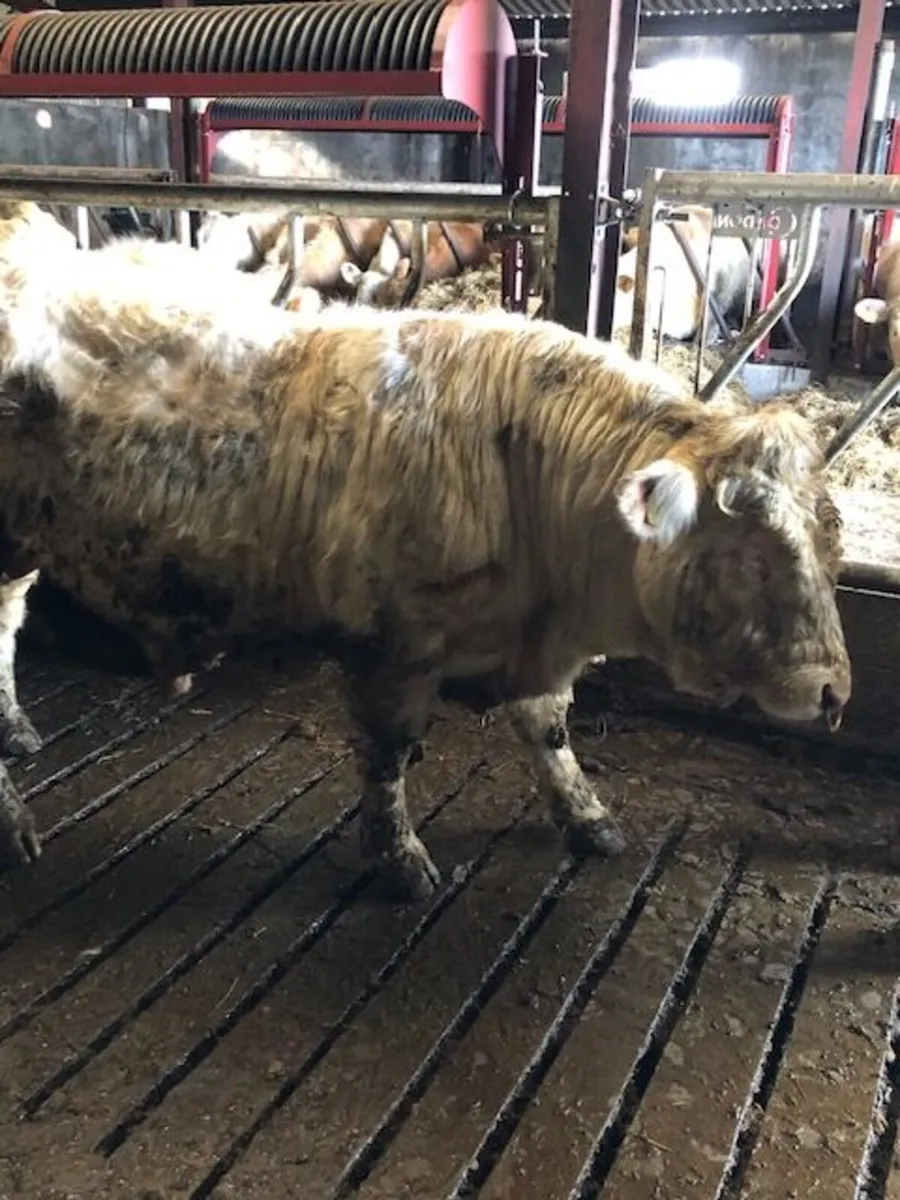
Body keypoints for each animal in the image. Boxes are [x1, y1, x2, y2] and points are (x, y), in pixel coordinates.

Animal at [0, 237, 851, 900]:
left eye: (827, 543)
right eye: (750, 555)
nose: (833, 691)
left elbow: (549, 730)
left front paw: (586, 817)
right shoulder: (397, 643)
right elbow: (390, 754)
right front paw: (399, 860)